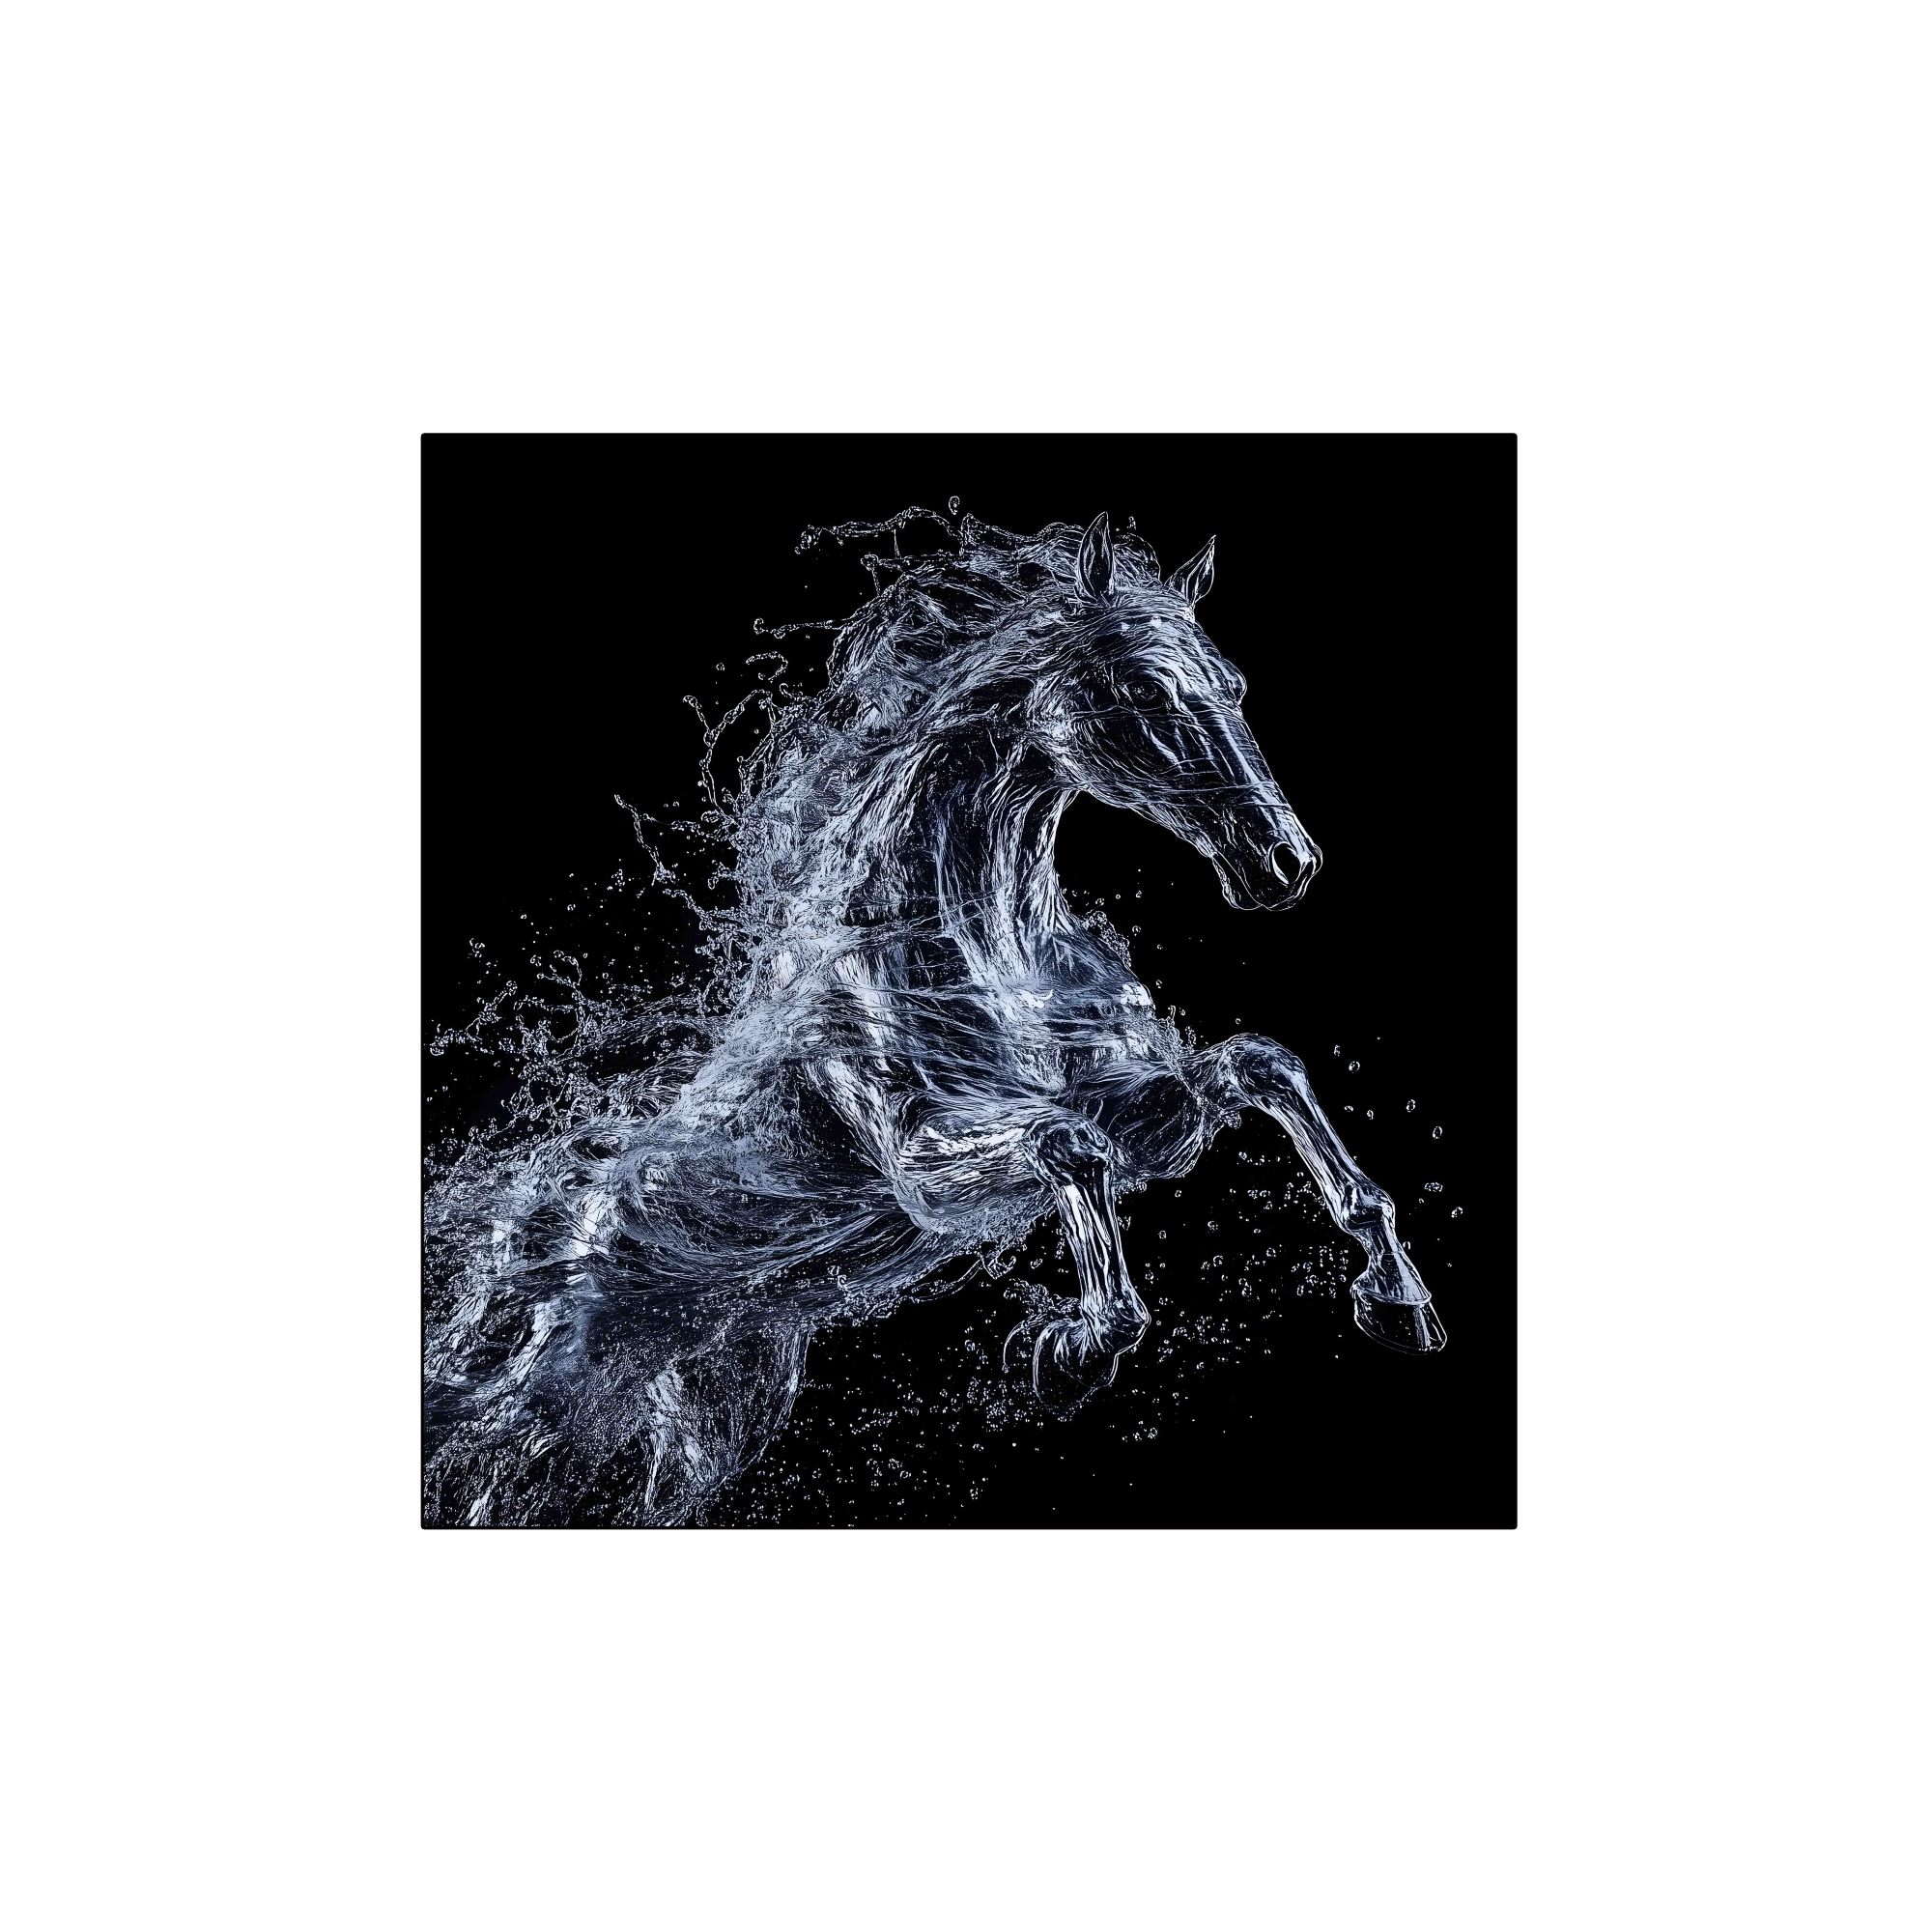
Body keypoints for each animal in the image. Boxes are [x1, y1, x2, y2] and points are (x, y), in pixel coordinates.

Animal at [421, 509, 1446, 1526]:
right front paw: (1067, 1353)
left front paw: (1397, 1298)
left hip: (699, 1400)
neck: (981, 959)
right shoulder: (928, 1171)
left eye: (1234, 684)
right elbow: (1068, 1148)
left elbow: (1262, 1064)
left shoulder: (1147, 1113)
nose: (1285, 864)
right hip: (545, 1396)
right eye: (1144, 686)